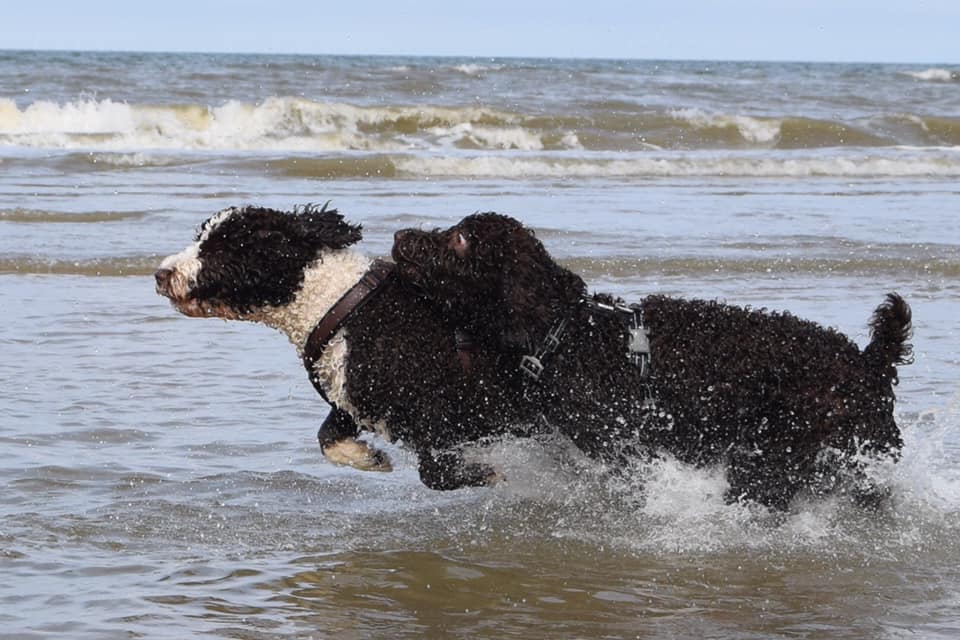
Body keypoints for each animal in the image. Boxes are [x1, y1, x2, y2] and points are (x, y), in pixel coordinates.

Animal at [392, 214, 916, 510]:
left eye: (460, 239)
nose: (399, 234)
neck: (567, 331)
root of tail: (869, 361)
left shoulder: (622, 444)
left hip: (779, 455)